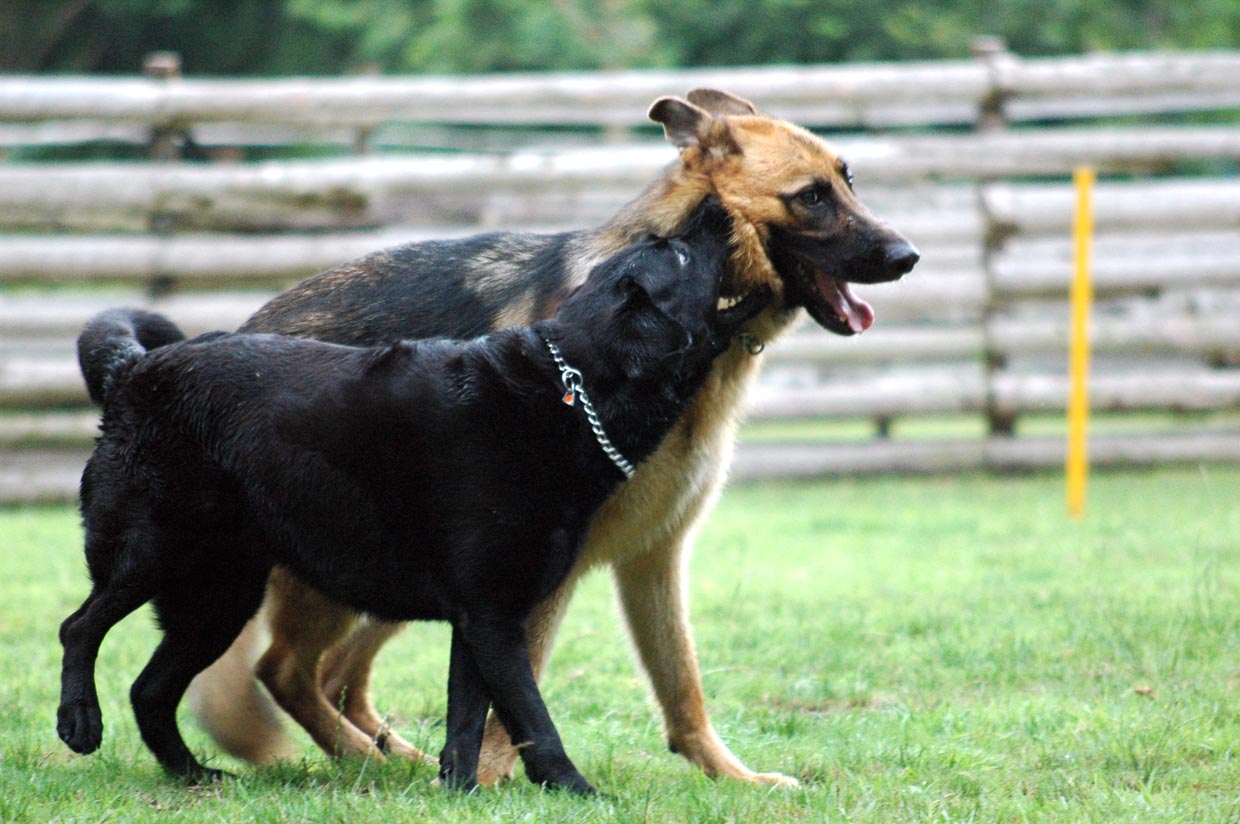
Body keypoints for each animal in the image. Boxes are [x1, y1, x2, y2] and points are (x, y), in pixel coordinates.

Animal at [60, 198, 773, 793]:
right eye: (678, 255)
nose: (718, 207)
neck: (572, 390)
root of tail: (132, 371)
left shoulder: (480, 618)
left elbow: (467, 721)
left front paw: (459, 793)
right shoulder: (496, 617)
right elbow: (533, 718)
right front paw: (577, 791)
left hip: (217, 597)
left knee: (151, 690)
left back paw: (193, 775)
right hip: (150, 555)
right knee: (80, 628)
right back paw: (79, 724)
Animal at [188, 88, 917, 783]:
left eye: (848, 180)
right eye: (812, 197)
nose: (908, 256)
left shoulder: (653, 557)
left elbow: (681, 685)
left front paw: (727, 775)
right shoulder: (533, 578)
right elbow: (517, 689)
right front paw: (496, 780)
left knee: (332, 673)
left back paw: (390, 760)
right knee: (286, 669)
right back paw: (372, 759)